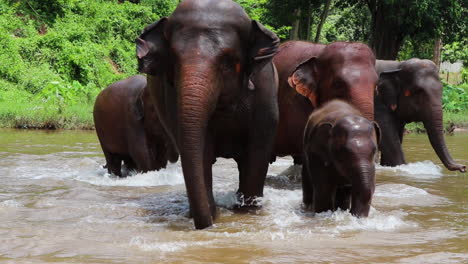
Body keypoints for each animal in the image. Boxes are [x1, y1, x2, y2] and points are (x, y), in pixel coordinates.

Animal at [136, 0, 282, 229]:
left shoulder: (264, 93)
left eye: (227, 62)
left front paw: (247, 213)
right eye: (174, 60)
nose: (207, 226)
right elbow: (201, 150)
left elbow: (257, 152)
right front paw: (211, 213)